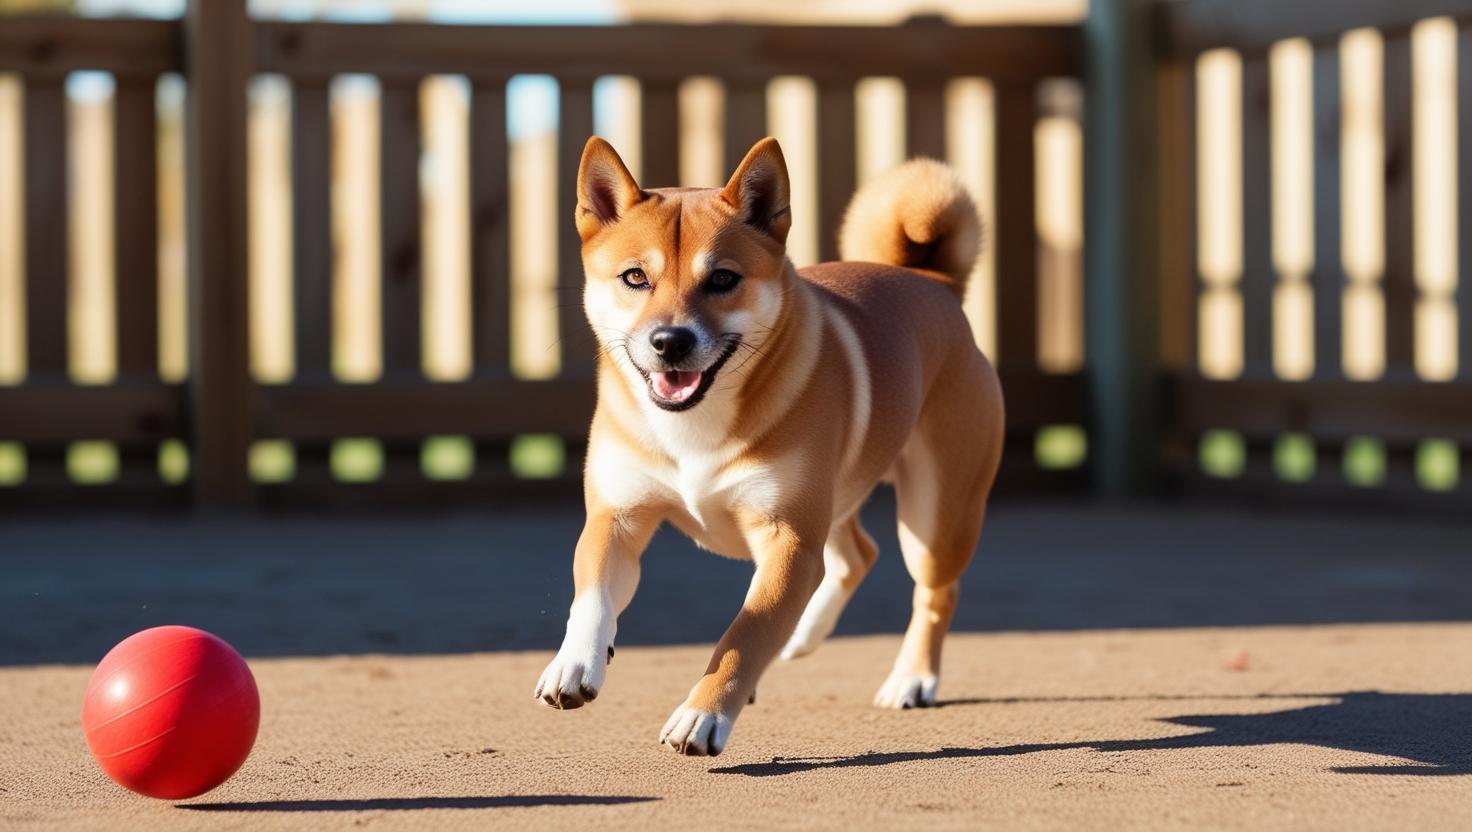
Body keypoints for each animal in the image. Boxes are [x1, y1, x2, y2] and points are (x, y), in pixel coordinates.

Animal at [535, 134, 1006, 753]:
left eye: (722, 279)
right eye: (635, 277)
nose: (669, 341)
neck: (694, 424)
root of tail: (934, 283)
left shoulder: (788, 540)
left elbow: (747, 632)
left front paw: (704, 714)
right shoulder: (617, 519)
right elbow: (591, 599)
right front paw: (573, 664)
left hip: (935, 519)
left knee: (933, 593)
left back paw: (912, 677)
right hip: (835, 502)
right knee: (856, 555)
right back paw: (803, 636)